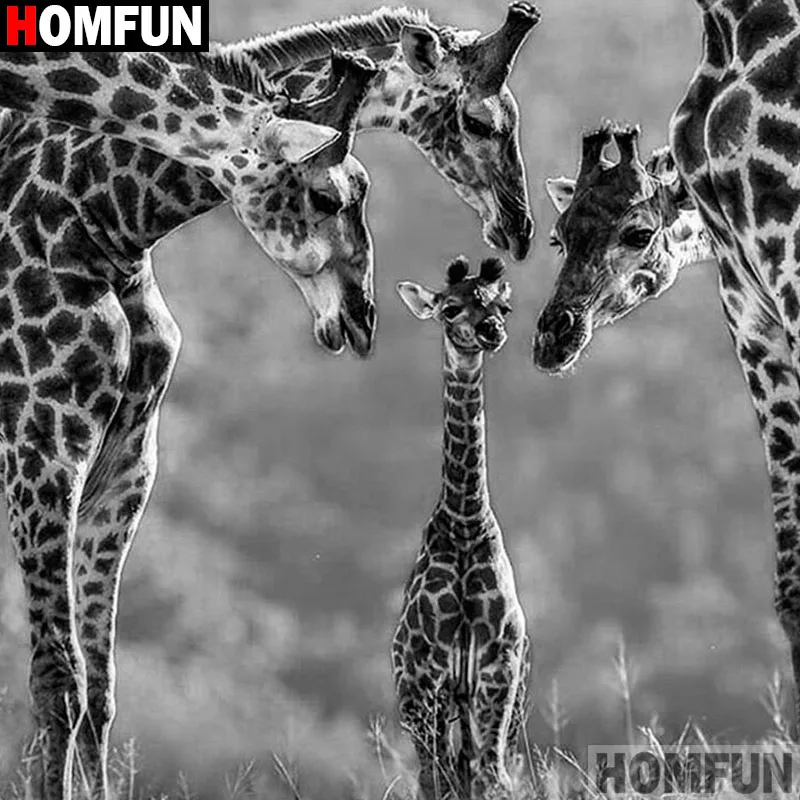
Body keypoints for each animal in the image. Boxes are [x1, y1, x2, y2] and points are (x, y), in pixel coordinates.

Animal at [0, 50, 378, 800]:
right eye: (328, 198)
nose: (362, 317)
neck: (100, 222)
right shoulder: (39, 449)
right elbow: (58, 679)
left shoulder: (125, 466)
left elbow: (100, 686)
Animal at [393, 257, 529, 800]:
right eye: (449, 308)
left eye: (503, 307)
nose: (490, 331)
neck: (467, 524)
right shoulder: (428, 673)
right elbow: (438, 779)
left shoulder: (498, 666)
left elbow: (494, 777)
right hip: (422, 699)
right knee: (440, 773)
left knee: (476, 768)